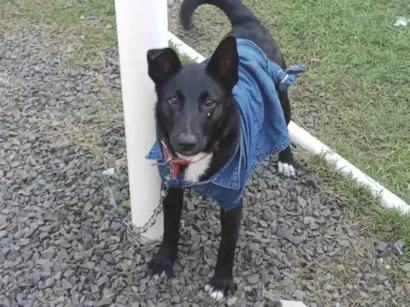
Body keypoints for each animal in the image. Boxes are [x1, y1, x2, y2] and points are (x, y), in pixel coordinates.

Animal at [146, 0, 302, 300]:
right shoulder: (171, 187)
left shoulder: (232, 203)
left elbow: (227, 246)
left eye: (209, 102)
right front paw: (164, 262)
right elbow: (170, 228)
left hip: (281, 97)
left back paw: (286, 160)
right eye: (173, 100)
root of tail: (247, 24)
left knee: (284, 129)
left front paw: (220, 282)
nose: (185, 142)